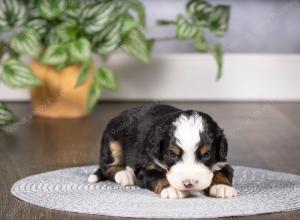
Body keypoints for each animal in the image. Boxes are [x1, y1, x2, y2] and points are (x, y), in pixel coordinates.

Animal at [88, 104, 238, 199]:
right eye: (172, 154)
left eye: (206, 155)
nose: (188, 184)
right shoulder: (145, 168)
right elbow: (159, 176)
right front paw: (172, 189)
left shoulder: (222, 162)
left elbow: (223, 173)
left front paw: (222, 187)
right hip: (112, 140)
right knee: (108, 166)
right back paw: (124, 175)